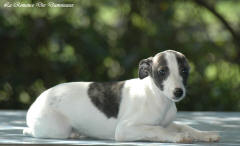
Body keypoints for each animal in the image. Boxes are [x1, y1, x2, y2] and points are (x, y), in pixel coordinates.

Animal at [23, 50, 220, 143]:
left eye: (184, 71)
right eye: (162, 71)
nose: (178, 92)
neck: (157, 97)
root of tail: (37, 100)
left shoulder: (167, 122)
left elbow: (185, 126)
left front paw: (205, 134)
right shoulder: (125, 129)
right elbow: (156, 130)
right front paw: (176, 137)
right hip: (56, 128)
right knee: (32, 131)